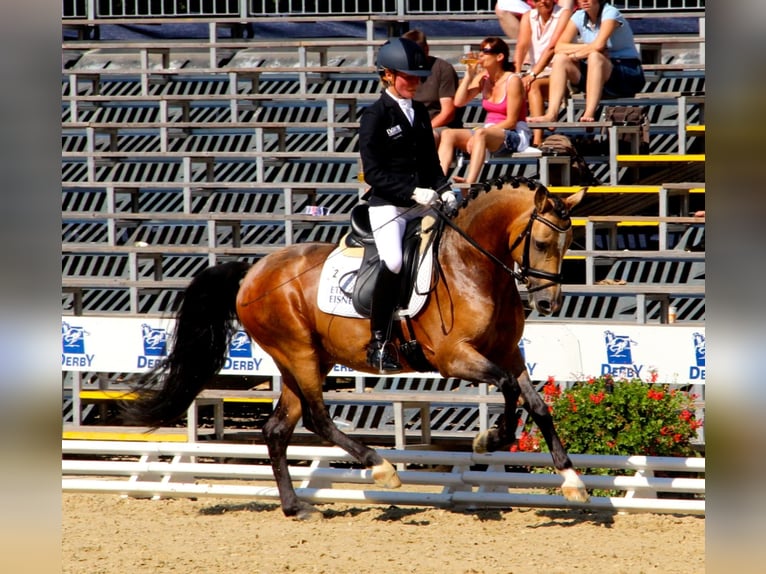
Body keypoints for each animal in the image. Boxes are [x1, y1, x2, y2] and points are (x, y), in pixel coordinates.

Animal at [122, 175, 589, 520]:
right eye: (542, 243)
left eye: (568, 246)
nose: (549, 304)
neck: (471, 264)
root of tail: (252, 271)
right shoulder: (453, 358)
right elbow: (508, 388)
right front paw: (488, 439)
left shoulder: (509, 352)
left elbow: (535, 403)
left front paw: (572, 481)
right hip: (299, 354)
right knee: (317, 418)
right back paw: (381, 468)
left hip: (304, 361)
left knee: (277, 429)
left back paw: (295, 507)